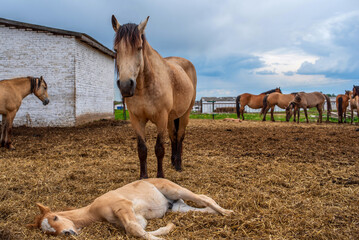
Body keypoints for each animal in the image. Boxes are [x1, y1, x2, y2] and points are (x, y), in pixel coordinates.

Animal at [29, 178, 235, 238]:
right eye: (48, 232)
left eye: (55, 218)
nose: (67, 233)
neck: (94, 210)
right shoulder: (138, 219)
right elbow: (138, 230)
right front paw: (169, 227)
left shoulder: (122, 206)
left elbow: (133, 229)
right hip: (177, 207)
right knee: (203, 206)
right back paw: (219, 213)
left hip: (174, 189)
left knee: (203, 197)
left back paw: (228, 212)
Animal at [112, 15, 197, 178]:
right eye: (116, 49)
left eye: (139, 48)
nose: (125, 85)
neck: (144, 87)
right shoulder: (136, 119)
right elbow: (142, 149)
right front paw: (143, 177)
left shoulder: (161, 118)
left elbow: (159, 149)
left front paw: (160, 176)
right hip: (171, 118)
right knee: (173, 136)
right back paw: (173, 161)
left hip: (185, 114)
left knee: (180, 136)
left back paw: (178, 164)